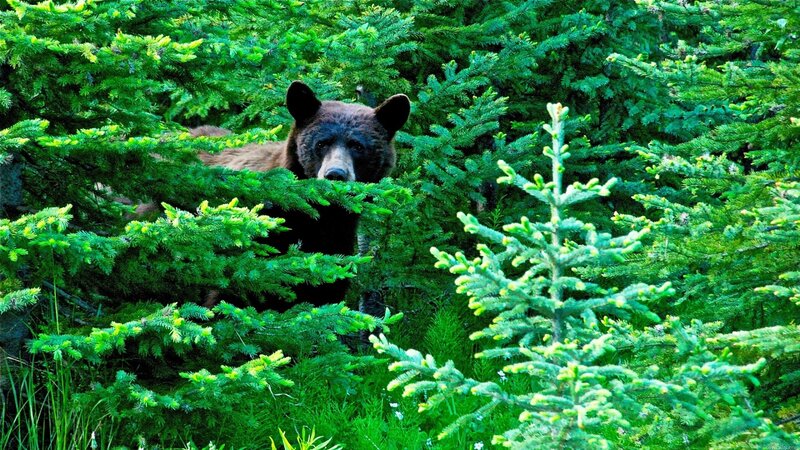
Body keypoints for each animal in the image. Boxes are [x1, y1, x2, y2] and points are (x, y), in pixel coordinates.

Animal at [195, 81, 410, 309]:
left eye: (358, 146)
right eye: (322, 143)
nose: (335, 174)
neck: (318, 217)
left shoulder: (335, 253)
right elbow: (226, 298)